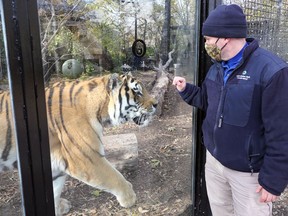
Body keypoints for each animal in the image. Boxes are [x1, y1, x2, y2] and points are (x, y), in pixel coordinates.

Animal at [0, 72, 158, 214]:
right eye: (137, 92)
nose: (156, 104)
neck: (100, 110)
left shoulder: (54, 160)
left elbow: (55, 188)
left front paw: (57, 208)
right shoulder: (86, 158)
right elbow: (115, 176)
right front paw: (129, 197)